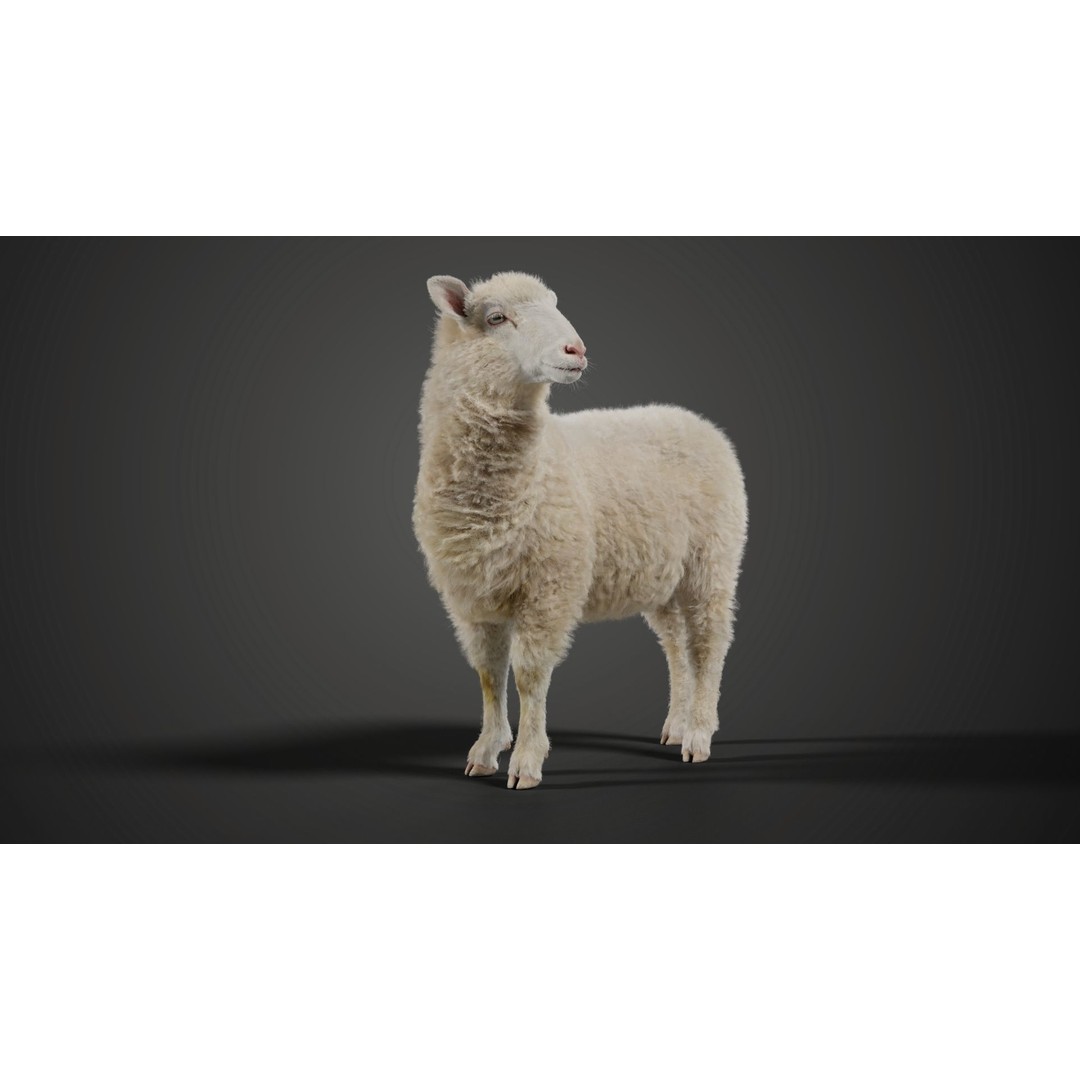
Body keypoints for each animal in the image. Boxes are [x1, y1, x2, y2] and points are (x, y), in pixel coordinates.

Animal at [413, 271, 748, 790]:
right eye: (496, 318)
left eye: (554, 305)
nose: (576, 349)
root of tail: (697, 421)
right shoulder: (471, 596)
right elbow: (489, 673)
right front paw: (486, 750)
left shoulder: (550, 587)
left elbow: (529, 675)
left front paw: (526, 761)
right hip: (663, 577)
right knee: (676, 646)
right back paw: (676, 724)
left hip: (712, 559)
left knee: (709, 643)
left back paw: (698, 735)